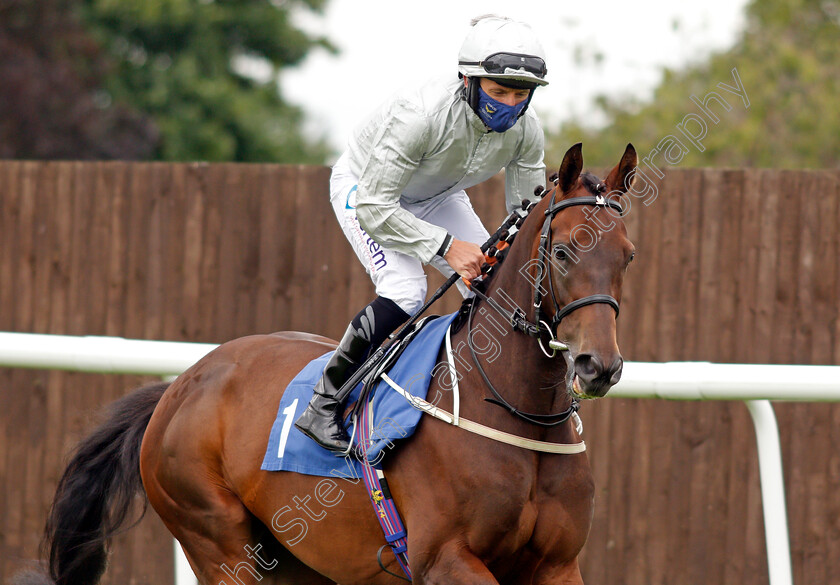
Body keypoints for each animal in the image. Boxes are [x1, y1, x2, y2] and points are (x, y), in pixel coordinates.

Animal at [31, 143, 636, 584]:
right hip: (218, 542)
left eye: (627, 256)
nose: (598, 365)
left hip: (298, 562)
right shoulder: (446, 559)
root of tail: (178, 389)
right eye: (563, 251)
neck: (514, 412)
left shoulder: (557, 566)